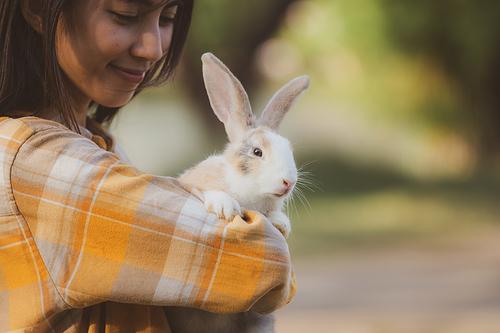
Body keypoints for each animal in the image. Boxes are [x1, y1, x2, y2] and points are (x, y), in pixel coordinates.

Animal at [166, 53, 310, 332]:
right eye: (257, 152)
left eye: (289, 149)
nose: (288, 182)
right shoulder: (192, 184)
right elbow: (207, 192)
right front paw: (225, 207)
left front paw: (281, 223)